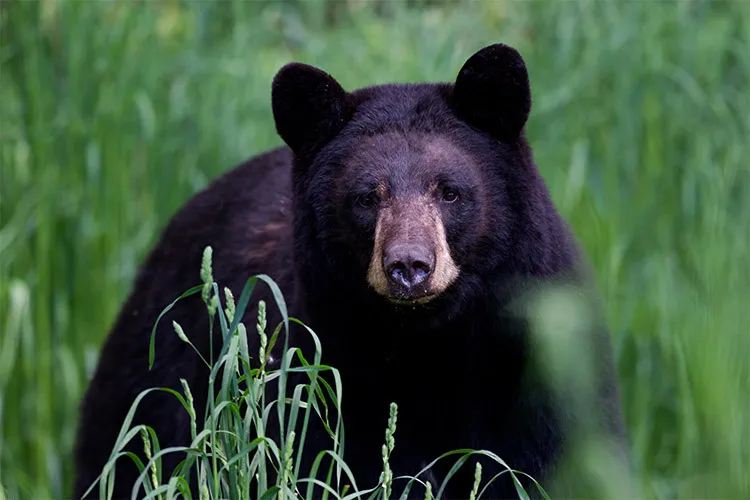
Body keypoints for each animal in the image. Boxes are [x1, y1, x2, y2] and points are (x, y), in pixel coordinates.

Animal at [75, 44, 628, 500]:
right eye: (366, 197)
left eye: (450, 191)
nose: (409, 266)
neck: (430, 350)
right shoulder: (323, 374)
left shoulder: (540, 375)